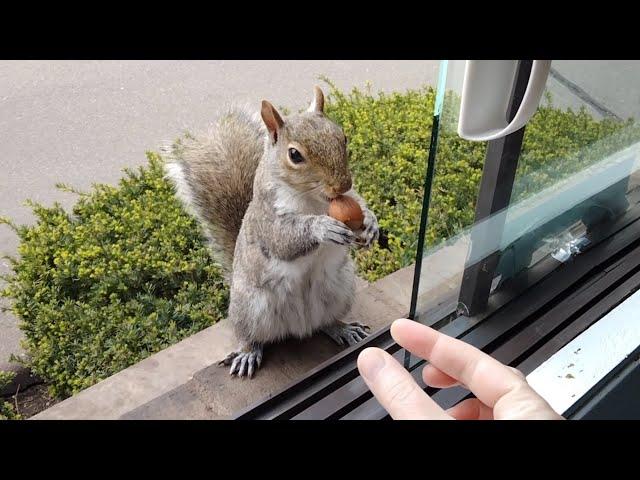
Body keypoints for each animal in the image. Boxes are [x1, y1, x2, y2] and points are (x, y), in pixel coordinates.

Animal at [162, 87, 380, 378]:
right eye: (295, 155)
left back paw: (342, 328)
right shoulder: (267, 219)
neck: (314, 199)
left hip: (339, 289)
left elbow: (358, 202)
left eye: (342, 137)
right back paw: (247, 353)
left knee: (325, 323)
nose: (342, 184)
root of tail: (300, 327)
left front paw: (370, 222)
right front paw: (322, 227)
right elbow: (283, 240)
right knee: (251, 336)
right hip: (251, 308)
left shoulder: (349, 198)